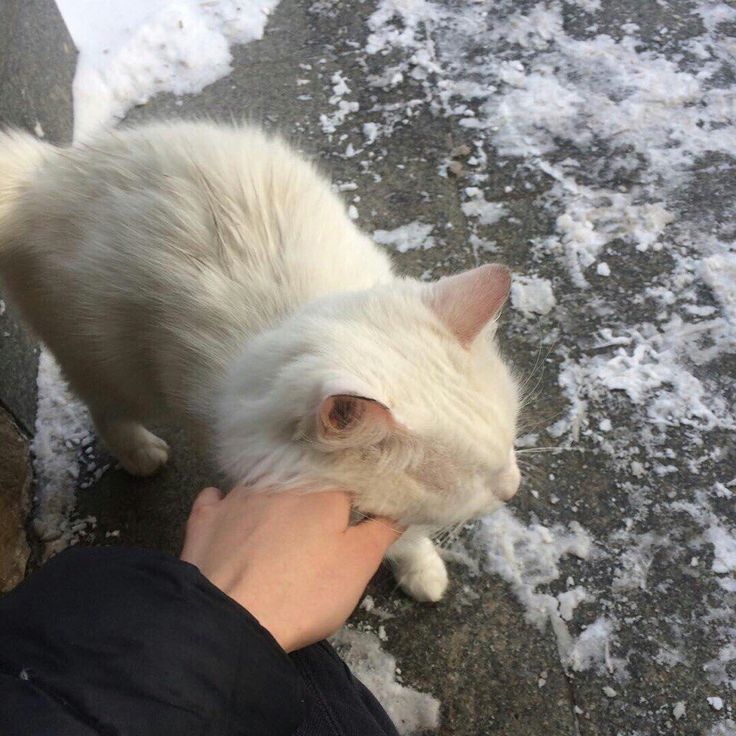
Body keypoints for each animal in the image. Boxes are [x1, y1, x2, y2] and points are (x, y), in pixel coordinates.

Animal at [0, 122, 520, 604]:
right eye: (457, 481)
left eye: (509, 438)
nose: (512, 489)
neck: (287, 322)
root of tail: (46, 171)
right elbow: (405, 531)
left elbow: (411, 537)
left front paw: (422, 569)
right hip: (113, 364)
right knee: (106, 410)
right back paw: (141, 454)